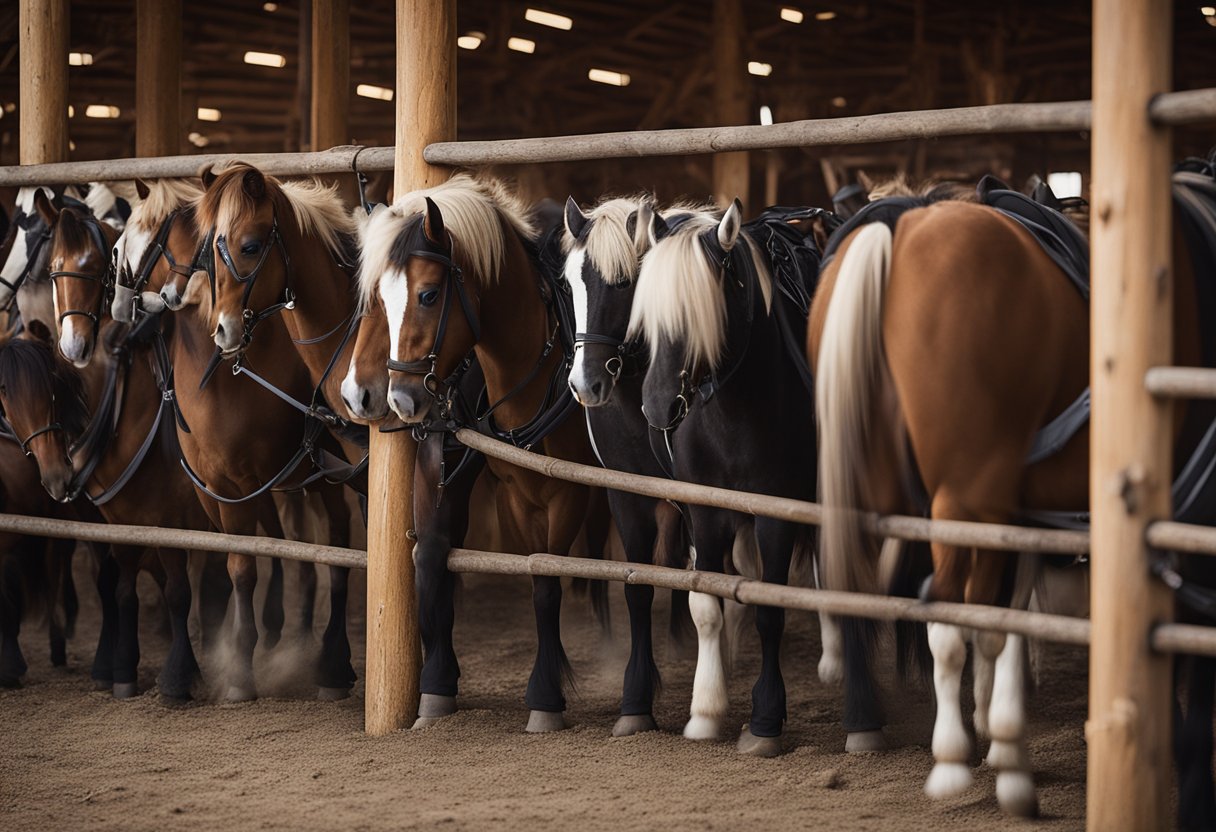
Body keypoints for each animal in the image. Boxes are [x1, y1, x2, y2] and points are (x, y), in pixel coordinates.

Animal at [113, 177, 355, 700]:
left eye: (133, 237)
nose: (117, 303)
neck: (225, 377)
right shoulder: (218, 489)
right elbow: (234, 565)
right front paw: (227, 664)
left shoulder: (257, 482)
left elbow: (256, 563)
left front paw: (240, 667)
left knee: (338, 549)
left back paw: (334, 663)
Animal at [359, 172, 608, 729]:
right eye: (382, 300)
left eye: (429, 294)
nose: (400, 399)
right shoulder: (513, 493)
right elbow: (453, 558)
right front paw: (436, 688)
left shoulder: (568, 494)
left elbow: (546, 579)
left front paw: (545, 700)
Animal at [632, 199, 831, 754]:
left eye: (702, 312)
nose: (657, 406)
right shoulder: (705, 512)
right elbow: (706, 604)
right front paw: (705, 709)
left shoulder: (776, 515)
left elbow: (771, 608)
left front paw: (765, 719)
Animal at [807, 169, 1216, 817]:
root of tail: (906, 224)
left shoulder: (1019, 513)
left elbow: (1006, 624)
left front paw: (1003, 743)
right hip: (961, 504)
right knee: (946, 609)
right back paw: (953, 763)